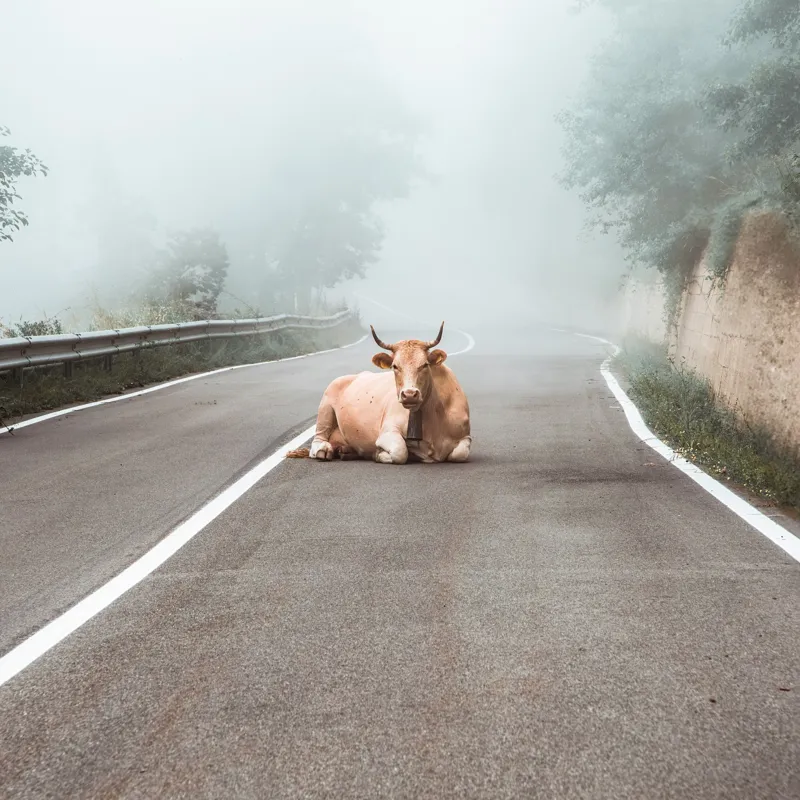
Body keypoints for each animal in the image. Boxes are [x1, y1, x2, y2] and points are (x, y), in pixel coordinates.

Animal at [286, 322, 471, 464]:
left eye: (425, 365)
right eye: (395, 366)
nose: (409, 394)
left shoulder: (465, 436)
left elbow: (460, 454)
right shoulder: (387, 432)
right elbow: (400, 451)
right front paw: (378, 454)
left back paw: (346, 451)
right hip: (325, 406)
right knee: (318, 440)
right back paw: (325, 450)